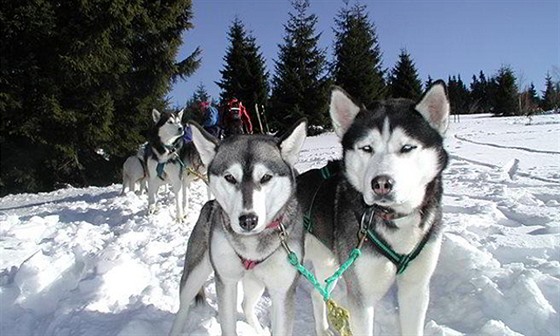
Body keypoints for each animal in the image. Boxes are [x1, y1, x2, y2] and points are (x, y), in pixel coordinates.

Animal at [168, 119, 308, 334]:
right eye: (230, 177)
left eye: (266, 177)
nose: (248, 220)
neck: (251, 246)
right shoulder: (226, 280)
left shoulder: (282, 291)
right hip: (195, 272)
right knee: (183, 305)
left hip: (255, 283)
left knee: (246, 304)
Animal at [298, 82, 450, 336]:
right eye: (367, 148)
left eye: (407, 147)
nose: (381, 184)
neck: (395, 219)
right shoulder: (362, 297)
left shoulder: (415, 289)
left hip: (328, 261)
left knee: (316, 293)